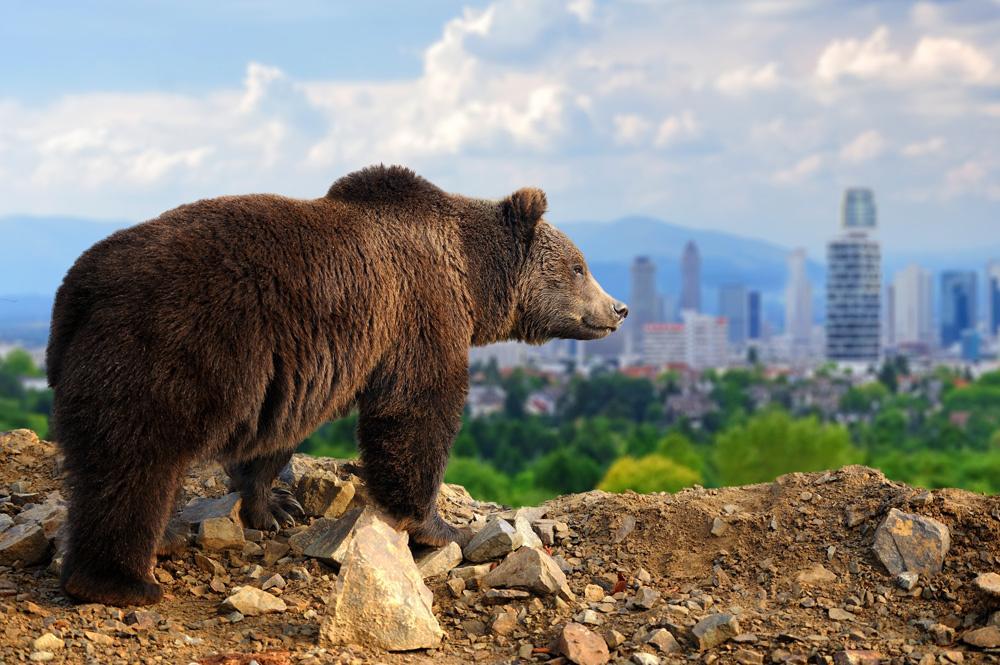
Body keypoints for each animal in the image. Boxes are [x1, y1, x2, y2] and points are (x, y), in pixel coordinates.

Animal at [47, 165, 628, 606]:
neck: (470, 276)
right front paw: (440, 526)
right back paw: (122, 580)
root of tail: (78, 288)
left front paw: (275, 506)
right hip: (171, 349)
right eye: (579, 266)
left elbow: (275, 437)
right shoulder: (418, 313)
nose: (618, 309)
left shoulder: (295, 369)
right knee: (134, 464)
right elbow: (417, 413)